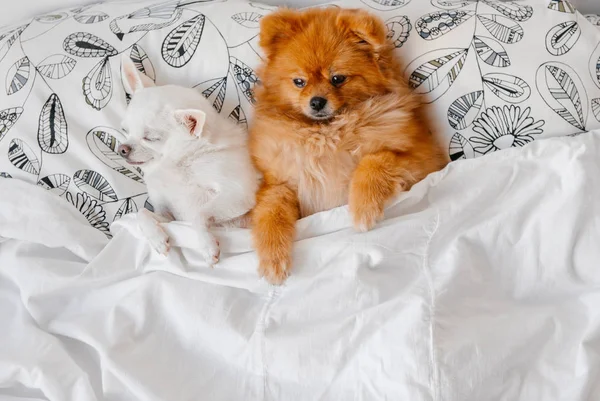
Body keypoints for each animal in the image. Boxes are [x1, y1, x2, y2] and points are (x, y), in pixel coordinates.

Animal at [117, 55, 258, 262]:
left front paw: (207, 245)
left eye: (150, 138)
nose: (122, 149)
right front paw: (157, 239)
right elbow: (142, 213)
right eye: (125, 130)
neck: (177, 164)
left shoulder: (239, 194)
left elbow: (198, 215)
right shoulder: (169, 216)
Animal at [247, 5, 446, 282]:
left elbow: (374, 161)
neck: (327, 133)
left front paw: (363, 208)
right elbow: (270, 214)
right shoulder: (280, 183)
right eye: (299, 82)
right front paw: (272, 258)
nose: (316, 102)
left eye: (337, 78)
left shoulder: (425, 158)